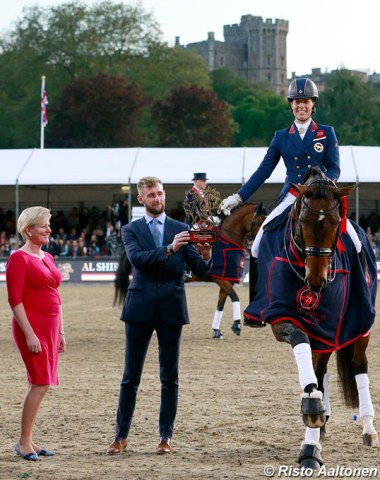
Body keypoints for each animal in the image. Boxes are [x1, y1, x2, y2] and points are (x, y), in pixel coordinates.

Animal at [114, 202, 266, 338]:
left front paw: (216, 331)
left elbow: (220, 305)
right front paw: (237, 325)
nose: (261, 242)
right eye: (258, 221)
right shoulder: (220, 279)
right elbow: (235, 297)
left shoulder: (226, 280)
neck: (228, 242)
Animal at [243, 168, 378, 468]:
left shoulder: (332, 324)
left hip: (361, 324)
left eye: (336, 222)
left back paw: (368, 427)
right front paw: (314, 409)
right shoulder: (282, 315)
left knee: (359, 366)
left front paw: (311, 441)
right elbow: (303, 347)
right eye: (303, 220)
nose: (315, 280)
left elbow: (319, 370)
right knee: (322, 367)